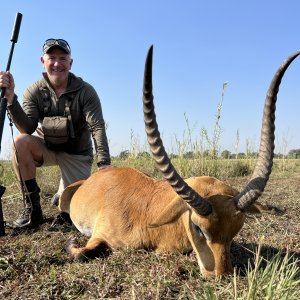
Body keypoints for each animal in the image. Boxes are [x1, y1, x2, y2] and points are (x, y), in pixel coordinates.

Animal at [59, 45, 300, 278]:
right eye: (198, 227)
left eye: (236, 229)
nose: (220, 274)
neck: (148, 209)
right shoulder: (98, 236)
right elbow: (82, 254)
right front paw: (72, 242)